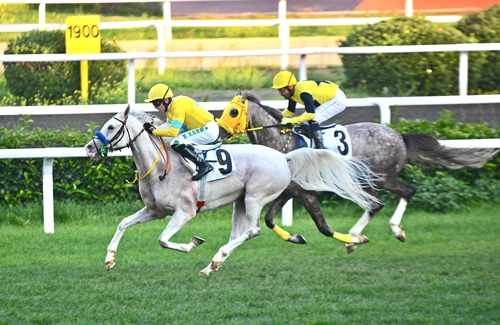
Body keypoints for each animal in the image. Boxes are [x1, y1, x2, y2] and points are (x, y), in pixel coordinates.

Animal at [85, 104, 382, 274]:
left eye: (111, 126)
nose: (88, 148)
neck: (161, 167)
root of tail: (284, 157)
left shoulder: (184, 212)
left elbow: (163, 240)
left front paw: (192, 243)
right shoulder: (154, 210)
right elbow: (123, 223)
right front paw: (110, 259)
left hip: (254, 197)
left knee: (253, 230)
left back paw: (216, 259)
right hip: (240, 201)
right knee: (238, 233)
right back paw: (212, 265)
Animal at [219, 92, 500, 253]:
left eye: (232, 111)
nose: (219, 131)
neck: (282, 142)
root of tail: (399, 135)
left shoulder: (306, 192)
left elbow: (323, 227)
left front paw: (348, 240)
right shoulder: (291, 191)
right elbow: (269, 219)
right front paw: (296, 237)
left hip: (380, 177)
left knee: (401, 194)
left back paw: (378, 233)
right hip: (369, 179)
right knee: (380, 203)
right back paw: (364, 234)